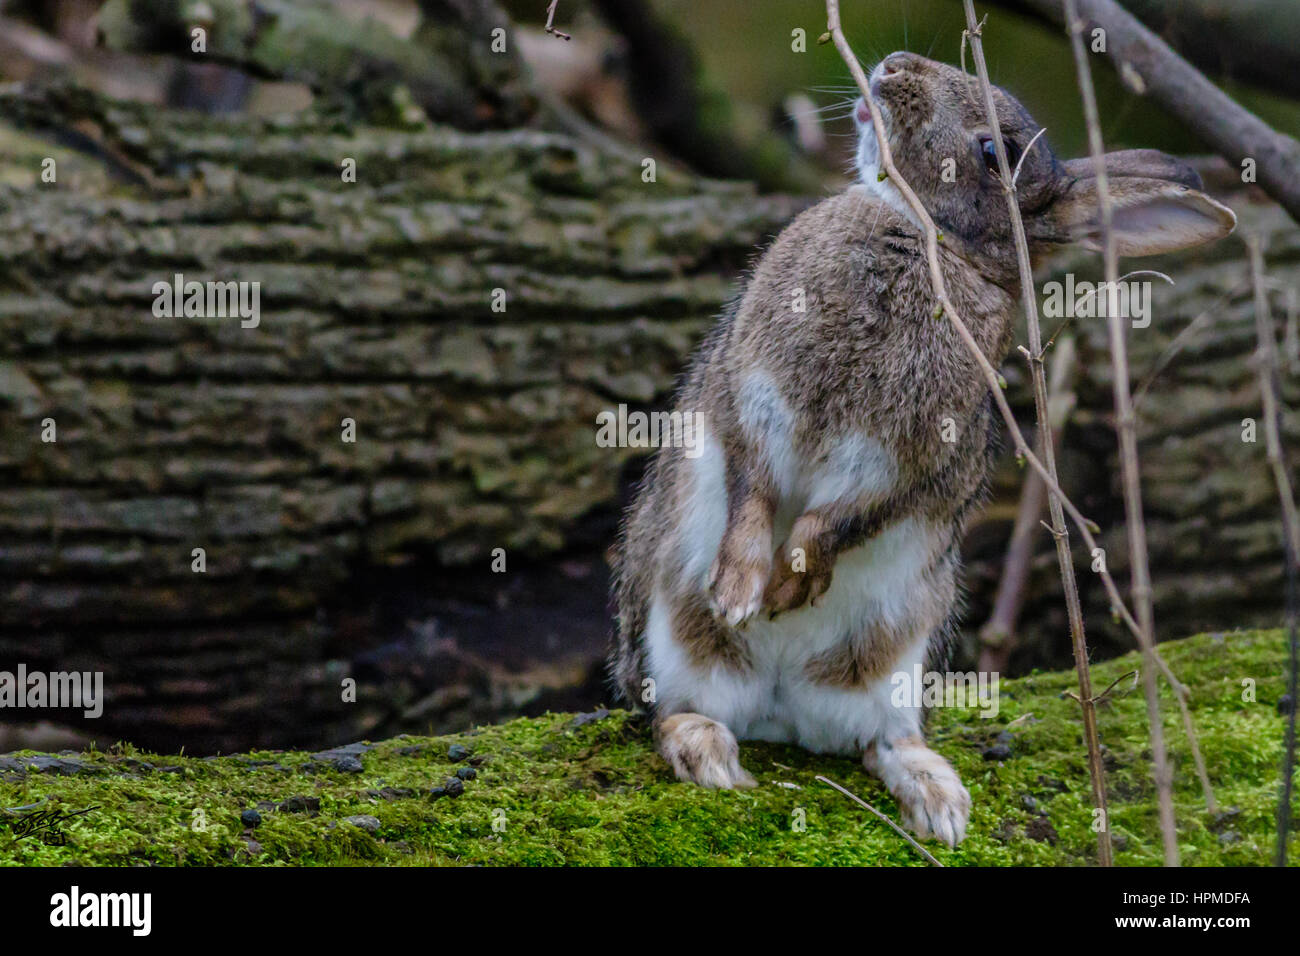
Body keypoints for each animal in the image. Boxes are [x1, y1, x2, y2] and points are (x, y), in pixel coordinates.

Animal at [609, 51, 1236, 846]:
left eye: (994, 152)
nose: (894, 67)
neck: (925, 237)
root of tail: (779, 709)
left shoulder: (914, 461)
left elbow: (842, 518)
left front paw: (788, 585)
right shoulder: (748, 393)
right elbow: (753, 488)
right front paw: (743, 593)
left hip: (901, 652)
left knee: (879, 739)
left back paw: (938, 801)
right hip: (668, 631)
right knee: (667, 707)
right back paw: (709, 752)